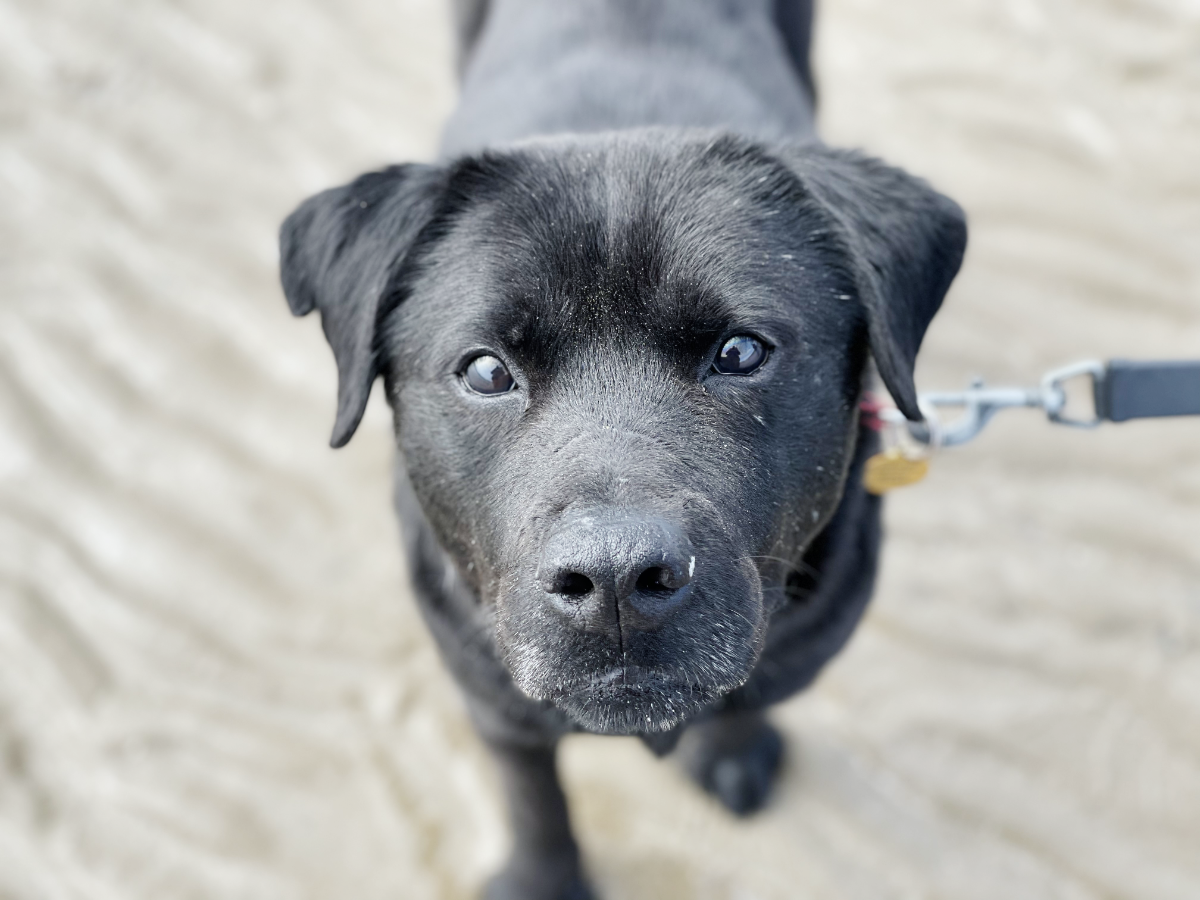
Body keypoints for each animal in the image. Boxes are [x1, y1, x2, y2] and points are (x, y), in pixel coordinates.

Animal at [278, 1, 964, 900]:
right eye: (486, 371)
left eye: (741, 352)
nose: (614, 580)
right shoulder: (487, 687)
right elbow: (531, 789)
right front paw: (542, 880)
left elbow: (747, 693)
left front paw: (732, 751)